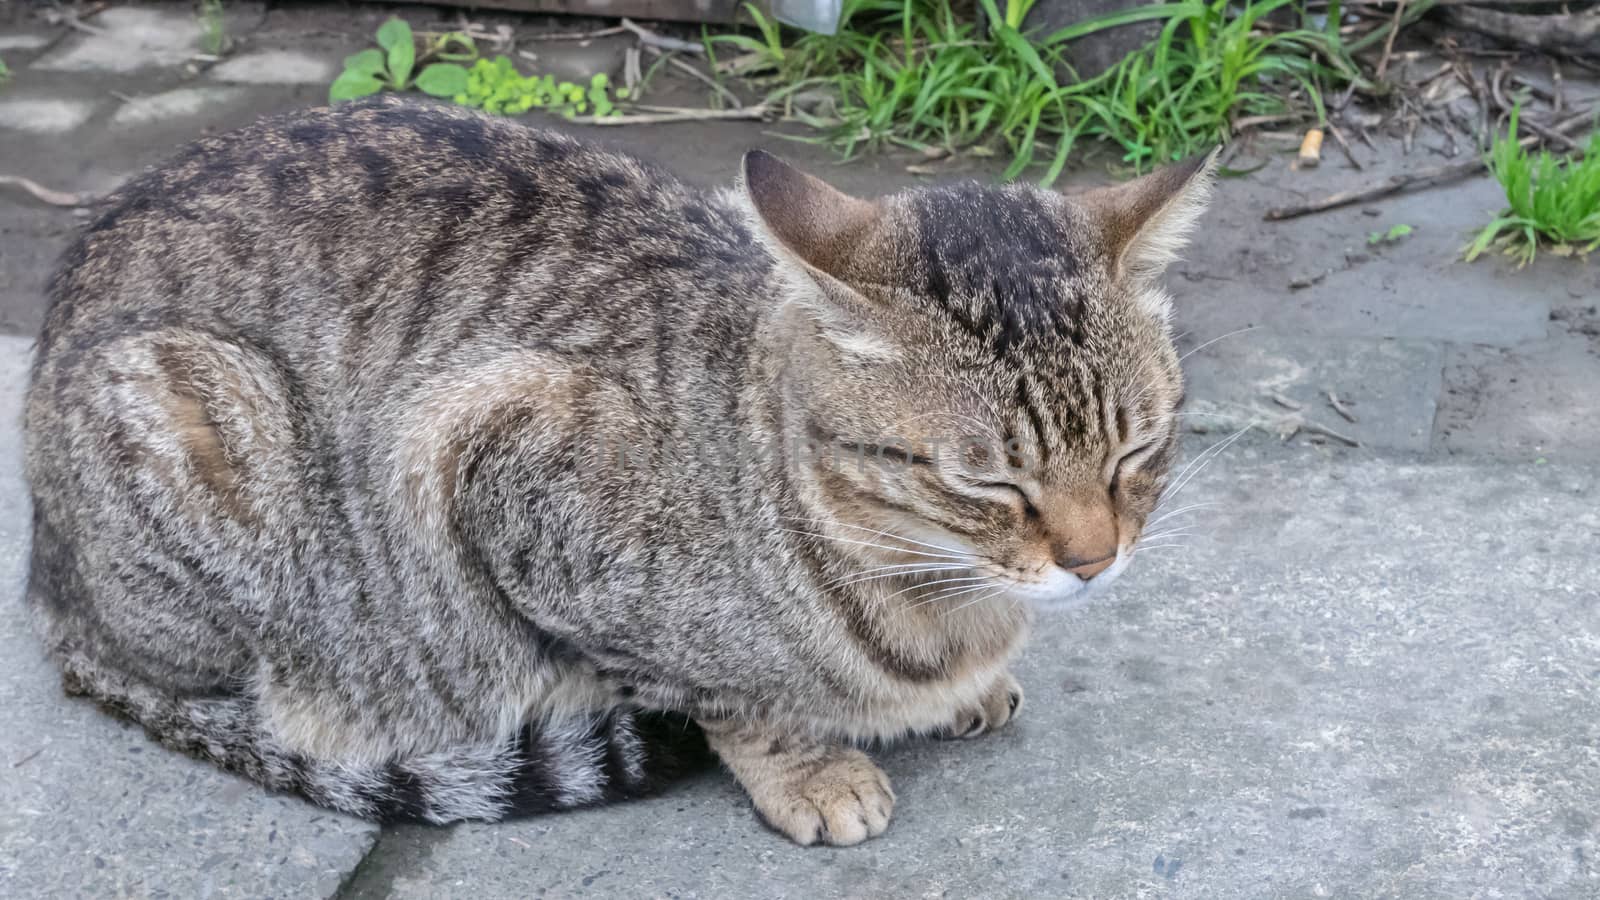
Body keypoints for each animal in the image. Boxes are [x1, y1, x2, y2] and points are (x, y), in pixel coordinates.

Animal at [25, 96, 1209, 839]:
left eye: (1137, 449)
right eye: (987, 481)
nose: (1094, 561)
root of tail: (52, 590)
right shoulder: (486, 449)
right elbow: (721, 693)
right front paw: (806, 766)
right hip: (196, 409)